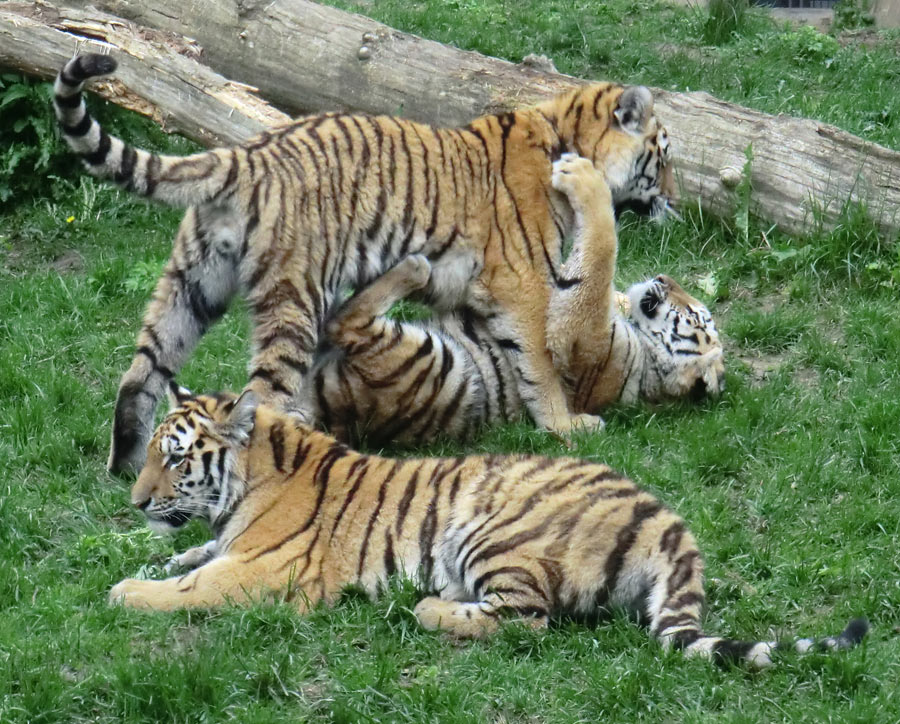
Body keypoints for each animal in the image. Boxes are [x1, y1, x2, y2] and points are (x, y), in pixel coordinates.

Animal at [109, 388, 868, 672]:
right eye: (153, 451)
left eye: (174, 457)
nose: (136, 498)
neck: (253, 478)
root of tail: (663, 516)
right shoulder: (224, 543)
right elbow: (188, 556)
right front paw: (146, 558)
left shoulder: (266, 570)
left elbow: (194, 586)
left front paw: (124, 592)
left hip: (488, 530)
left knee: (526, 621)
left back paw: (428, 605)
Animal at [310, 156, 724, 444]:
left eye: (696, 315)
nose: (663, 278)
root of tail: (326, 413)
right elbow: (604, 281)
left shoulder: (580, 338)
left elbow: (600, 256)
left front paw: (582, 175)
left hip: (435, 366)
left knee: (347, 323)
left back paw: (413, 268)